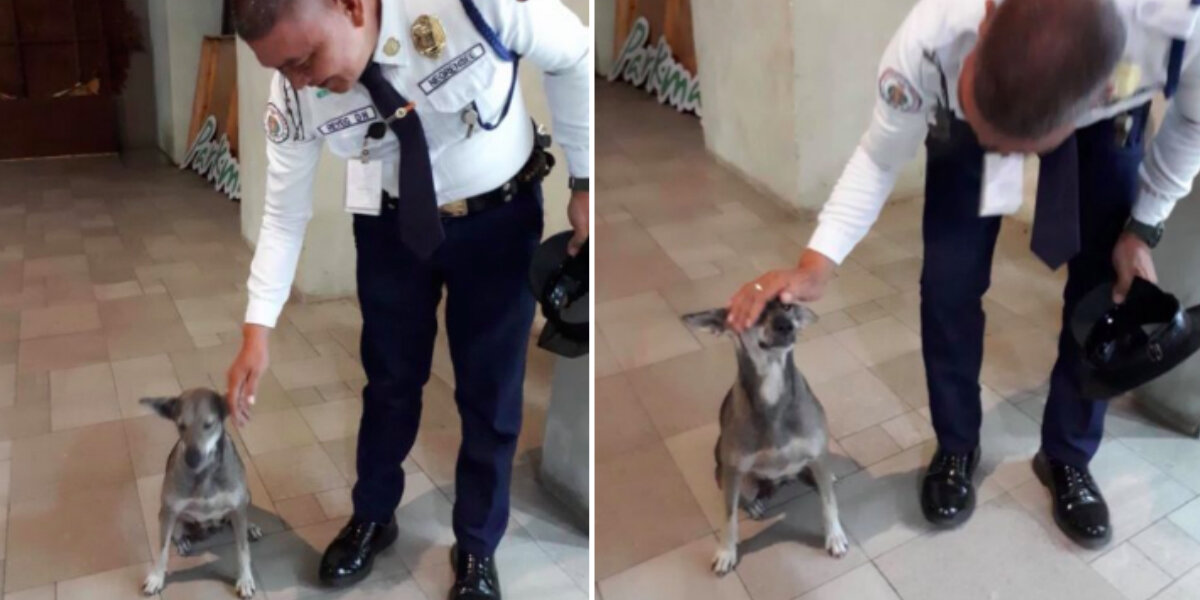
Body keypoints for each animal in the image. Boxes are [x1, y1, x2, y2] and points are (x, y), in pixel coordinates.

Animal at [140, 386, 262, 597]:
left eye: (209, 424)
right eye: (181, 425)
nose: (192, 459)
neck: (205, 474)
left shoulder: (237, 505)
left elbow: (242, 549)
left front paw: (245, 579)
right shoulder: (169, 510)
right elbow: (162, 549)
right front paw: (156, 577)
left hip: (246, 495)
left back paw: (250, 527)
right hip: (166, 514)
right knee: (177, 531)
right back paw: (182, 541)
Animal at [686, 300, 844, 576]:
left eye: (788, 305)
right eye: (752, 308)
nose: (785, 325)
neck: (772, 387)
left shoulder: (816, 453)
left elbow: (829, 503)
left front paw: (835, 536)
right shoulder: (733, 470)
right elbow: (729, 517)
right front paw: (726, 552)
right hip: (731, 477)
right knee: (745, 495)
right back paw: (753, 505)